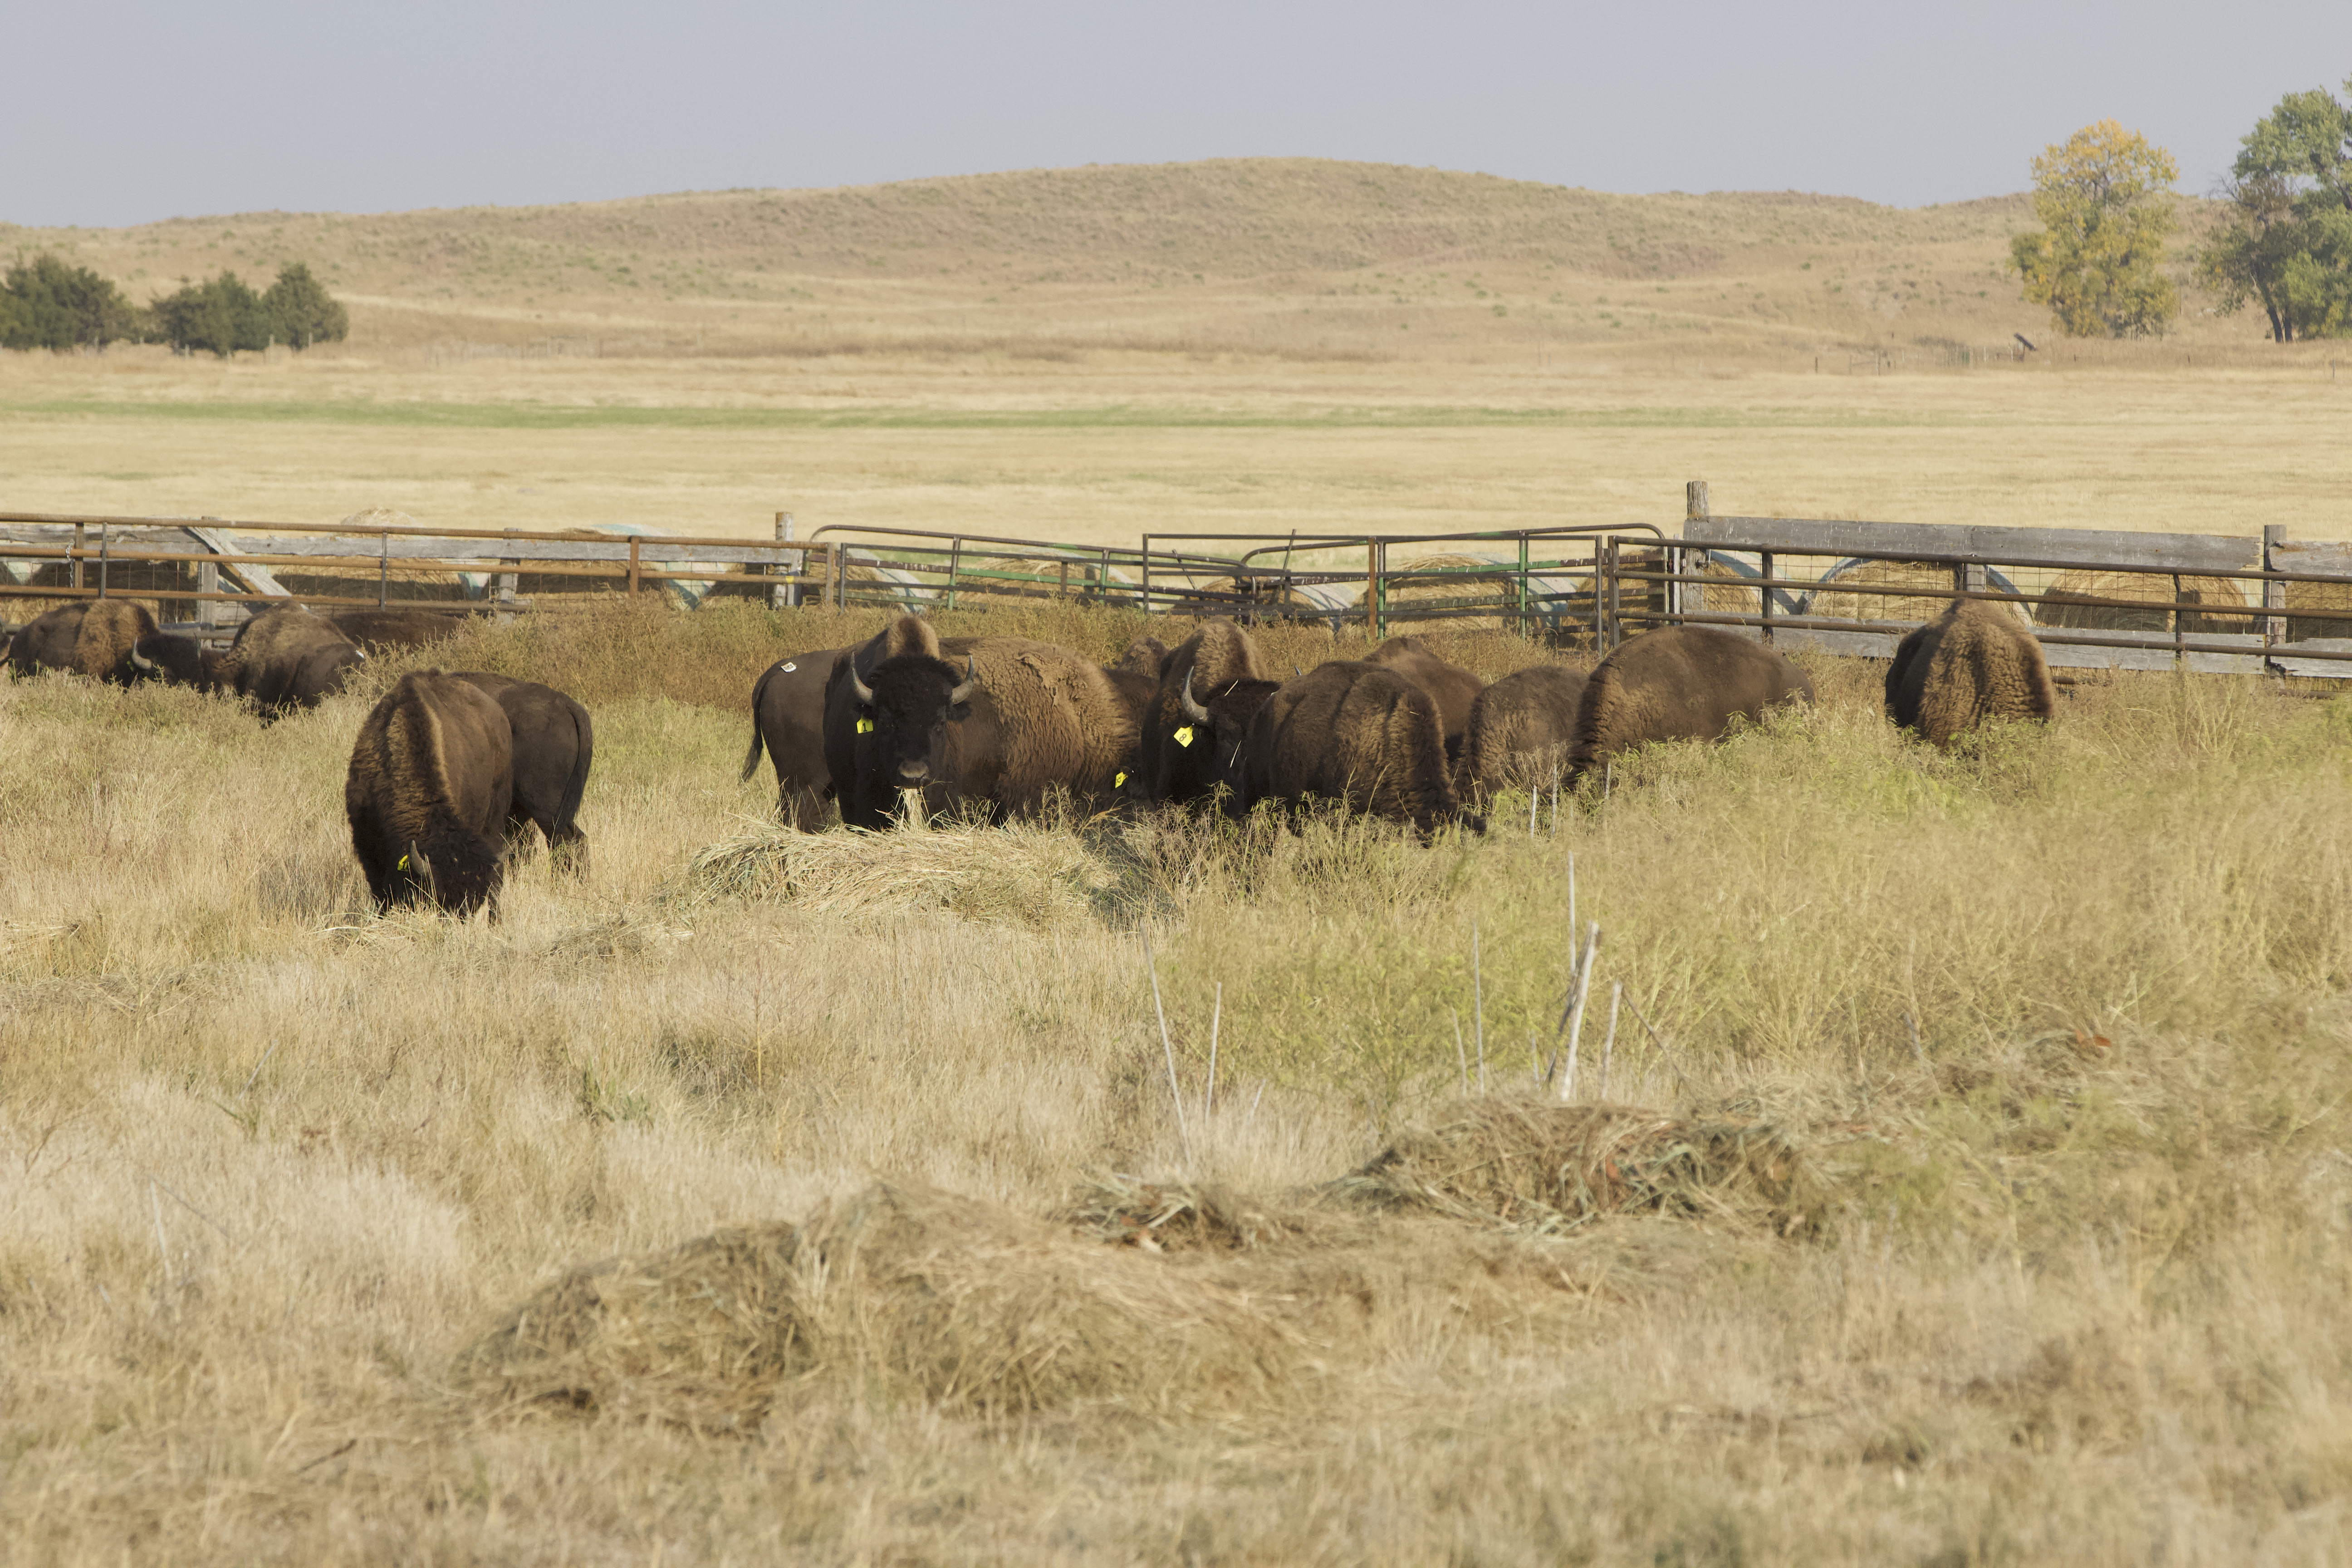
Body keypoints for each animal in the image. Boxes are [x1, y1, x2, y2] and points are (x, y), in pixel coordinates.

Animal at [345, 671, 514, 916]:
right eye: (440, 898)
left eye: (474, 902)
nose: (461, 919)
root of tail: (498, 714)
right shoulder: (367, 846)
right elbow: (382, 894)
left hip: (496, 819)